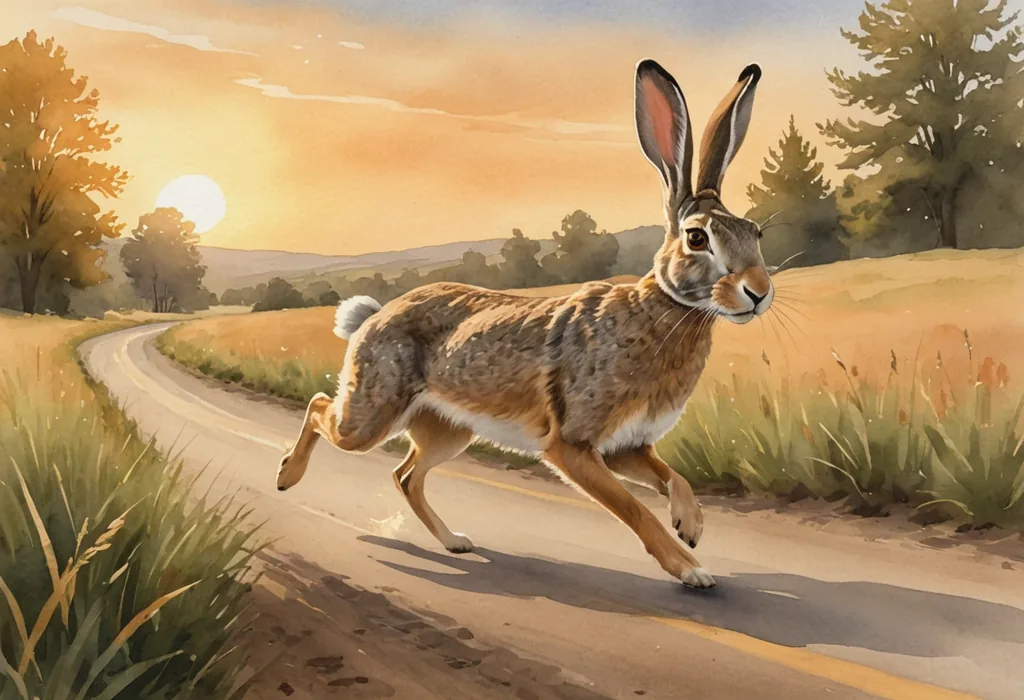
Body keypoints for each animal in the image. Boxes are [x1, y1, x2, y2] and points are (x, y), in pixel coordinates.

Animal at [277, 58, 770, 589]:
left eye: (755, 232)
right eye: (698, 238)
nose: (760, 292)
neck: (662, 309)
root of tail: (374, 317)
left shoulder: (627, 445)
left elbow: (674, 477)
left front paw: (691, 526)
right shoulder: (572, 444)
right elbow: (634, 510)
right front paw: (691, 569)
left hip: (449, 430)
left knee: (406, 475)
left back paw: (456, 542)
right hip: (373, 413)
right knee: (321, 407)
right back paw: (286, 476)